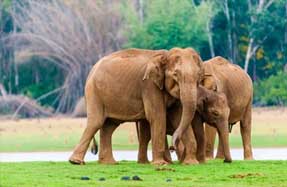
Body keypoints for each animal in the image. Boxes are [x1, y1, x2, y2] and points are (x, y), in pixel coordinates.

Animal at [69, 47, 205, 165]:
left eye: (199, 75)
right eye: (176, 74)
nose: (173, 146)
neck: (165, 55)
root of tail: (91, 70)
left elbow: (178, 117)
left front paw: (191, 163)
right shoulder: (149, 86)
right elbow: (157, 116)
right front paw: (160, 164)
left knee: (109, 126)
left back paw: (108, 163)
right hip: (94, 92)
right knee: (96, 122)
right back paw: (76, 162)